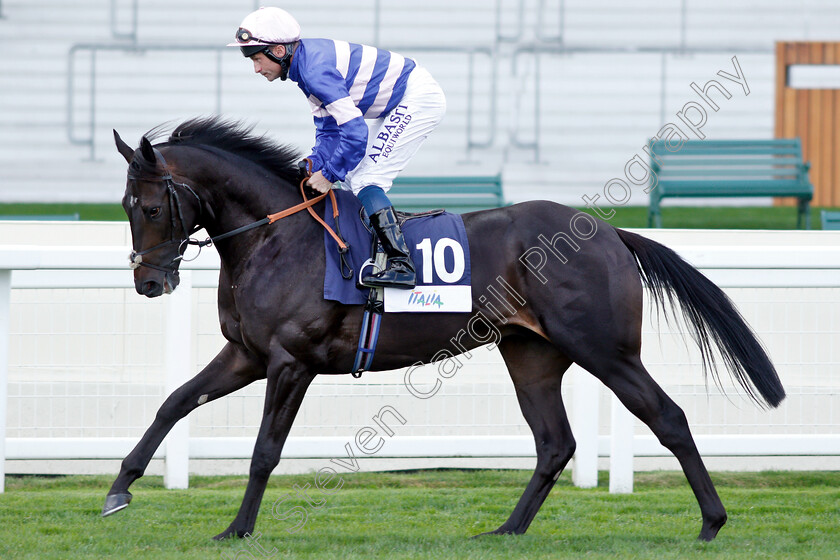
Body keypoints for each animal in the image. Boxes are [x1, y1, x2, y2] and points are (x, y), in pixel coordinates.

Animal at [105, 117, 788, 544]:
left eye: (150, 206)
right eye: (126, 207)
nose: (149, 283)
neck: (277, 238)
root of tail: (609, 232)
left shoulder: (291, 361)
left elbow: (264, 451)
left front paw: (237, 529)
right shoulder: (246, 353)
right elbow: (172, 404)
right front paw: (119, 491)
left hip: (604, 348)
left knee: (666, 417)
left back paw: (711, 522)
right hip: (532, 354)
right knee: (555, 442)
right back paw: (508, 531)